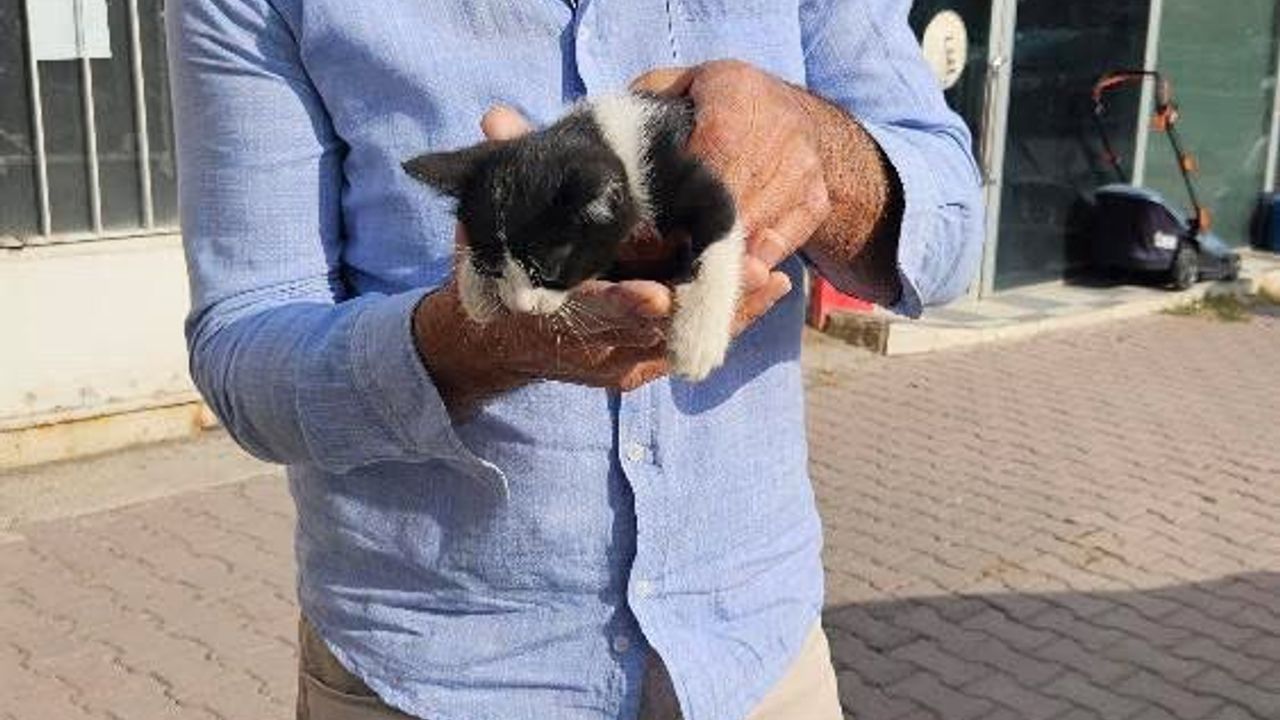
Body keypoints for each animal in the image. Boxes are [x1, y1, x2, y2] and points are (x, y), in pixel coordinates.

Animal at [403, 92, 743, 382]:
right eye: (491, 269)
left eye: (547, 271)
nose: (522, 308)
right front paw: (475, 291)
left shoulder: (673, 171)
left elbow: (720, 222)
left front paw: (697, 338)